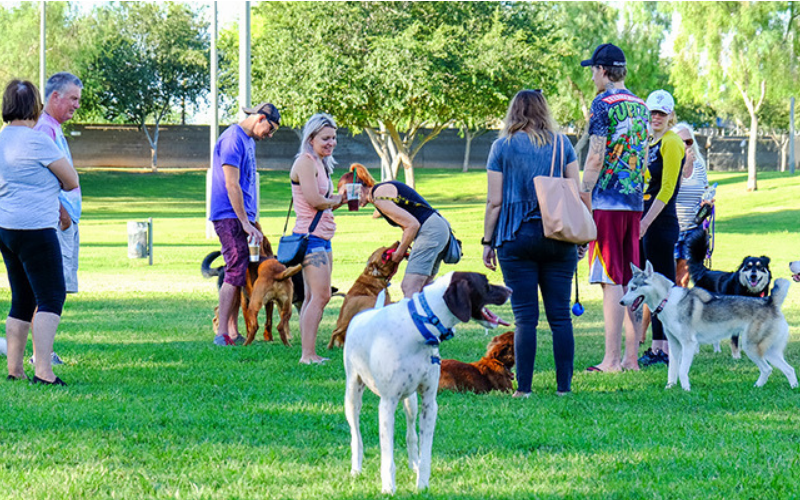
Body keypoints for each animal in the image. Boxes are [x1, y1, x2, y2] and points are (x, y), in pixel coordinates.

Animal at [342, 272, 506, 494]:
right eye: (486, 283)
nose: (510, 290)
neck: (418, 328)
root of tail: (365, 313)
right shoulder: (387, 404)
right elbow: (387, 457)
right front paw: (388, 488)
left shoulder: (429, 402)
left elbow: (425, 452)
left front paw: (422, 485)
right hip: (352, 396)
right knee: (356, 437)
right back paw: (356, 470)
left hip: (411, 402)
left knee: (411, 435)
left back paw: (413, 465)